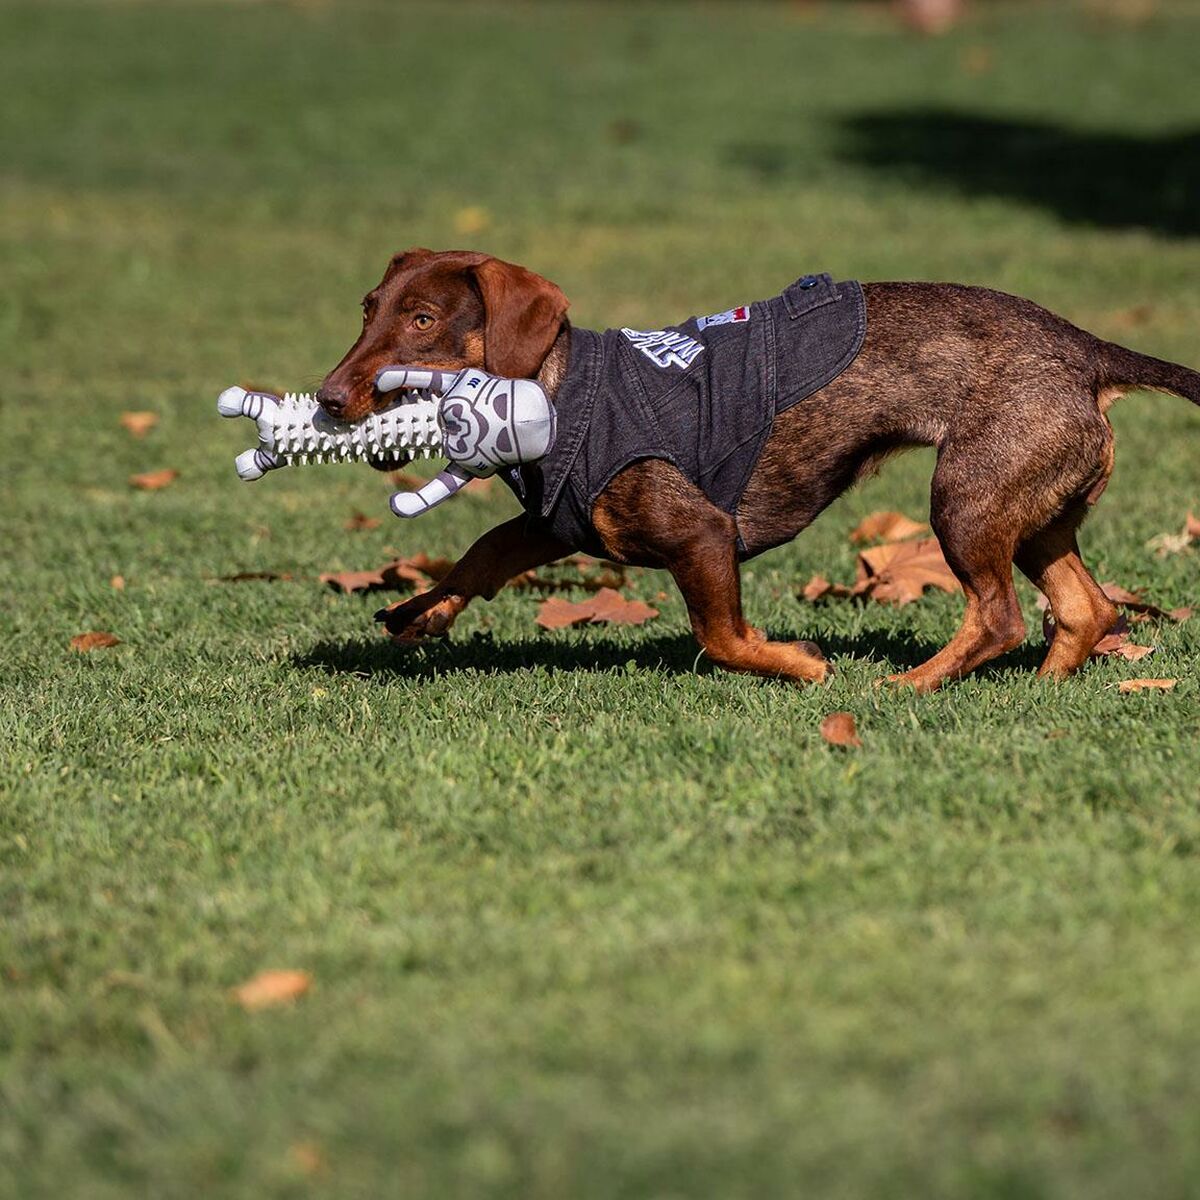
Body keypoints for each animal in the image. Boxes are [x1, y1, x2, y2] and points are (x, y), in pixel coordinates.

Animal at [314, 247, 1195, 691]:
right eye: (367, 309)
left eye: (423, 319)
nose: (326, 398)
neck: (558, 392)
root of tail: (1086, 349)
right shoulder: (557, 523)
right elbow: (484, 551)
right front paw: (423, 609)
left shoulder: (699, 534)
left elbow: (722, 636)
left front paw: (800, 663)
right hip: (1033, 512)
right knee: (1085, 610)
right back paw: (1042, 688)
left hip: (964, 501)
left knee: (1000, 616)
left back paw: (907, 686)